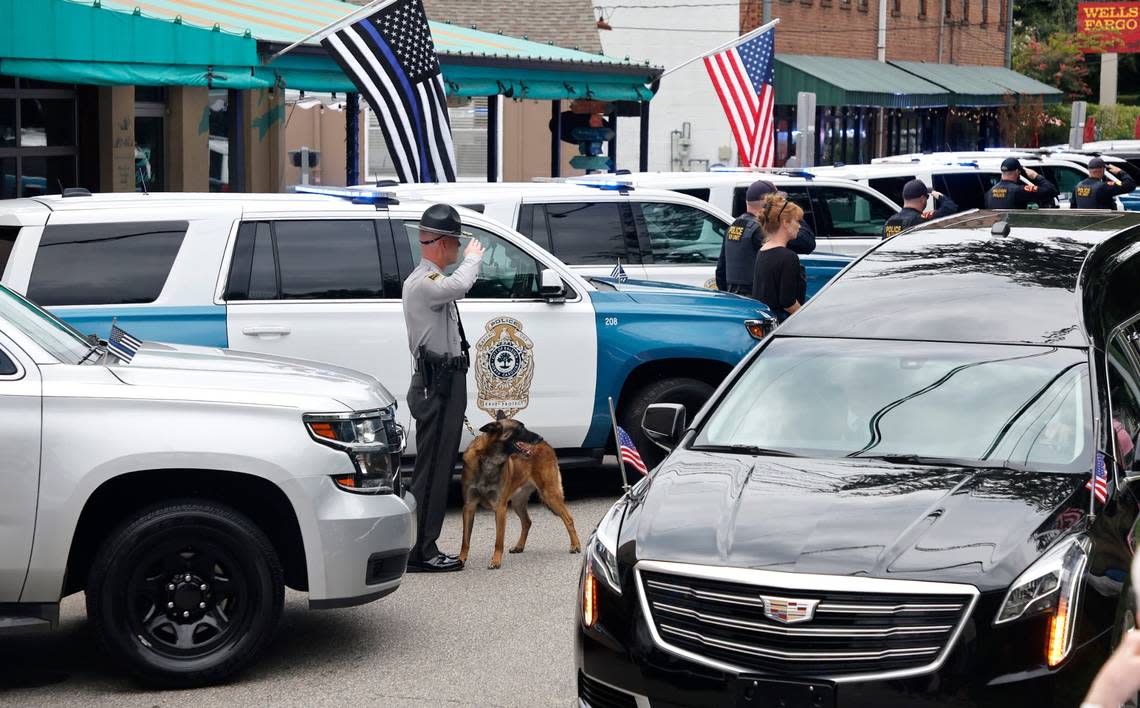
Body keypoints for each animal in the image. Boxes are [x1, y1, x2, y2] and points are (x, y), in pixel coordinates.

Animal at [460, 414, 583, 567]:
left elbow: (499, 541)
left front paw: (496, 561)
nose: (540, 437)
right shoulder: (469, 507)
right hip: (518, 502)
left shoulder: (500, 508)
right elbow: (465, 540)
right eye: (520, 428)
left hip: (549, 495)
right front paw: (460, 560)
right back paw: (519, 546)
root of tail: (547, 444)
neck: (489, 460)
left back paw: (575, 545)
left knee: (569, 518)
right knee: (527, 522)